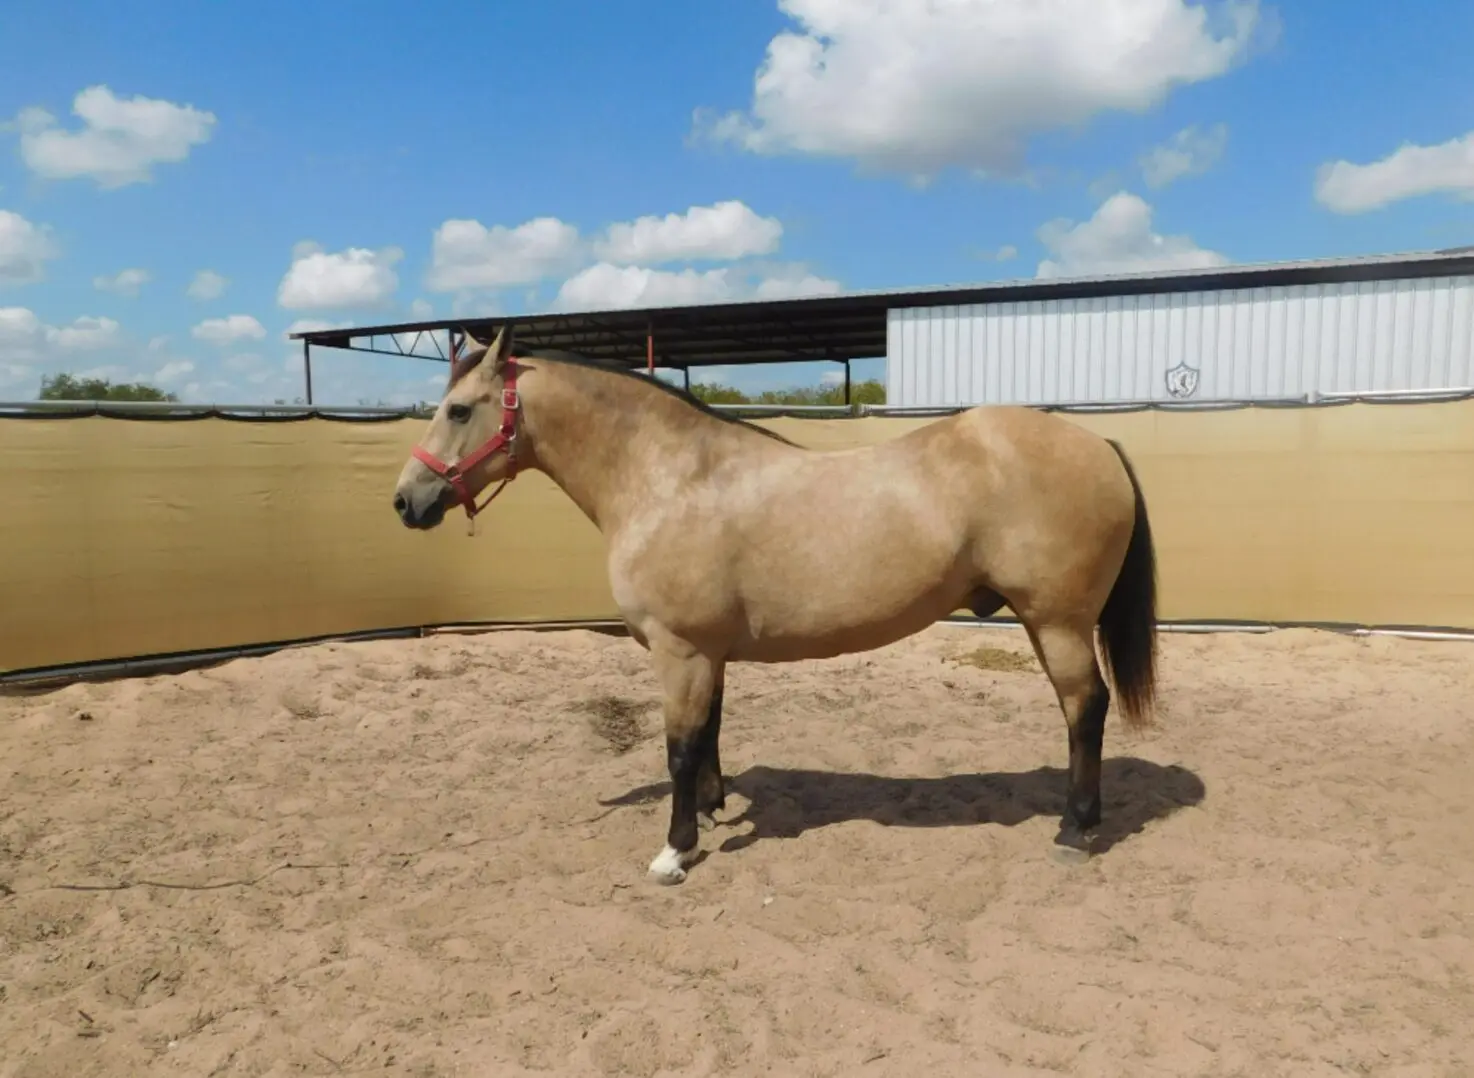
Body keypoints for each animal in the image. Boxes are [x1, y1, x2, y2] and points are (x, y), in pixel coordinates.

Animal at [392, 324, 1159, 885]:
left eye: (458, 410)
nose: (406, 501)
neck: (670, 479)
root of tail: (1099, 444)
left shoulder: (681, 650)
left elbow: (678, 749)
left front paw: (675, 851)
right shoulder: (708, 653)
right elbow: (709, 733)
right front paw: (713, 809)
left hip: (1056, 623)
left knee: (1084, 709)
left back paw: (1075, 829)